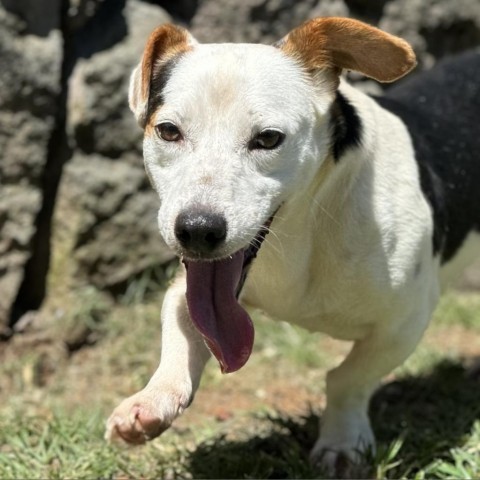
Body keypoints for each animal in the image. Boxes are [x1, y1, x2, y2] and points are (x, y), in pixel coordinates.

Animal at [104, 16, 480, 474]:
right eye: (168, 131)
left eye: (268, 139)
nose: (196, 229)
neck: (304, 229)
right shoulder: (188, 288)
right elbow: (182, 327)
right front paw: (155, 399)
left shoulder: (404, 322)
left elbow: (347, 379)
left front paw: (341, 441)